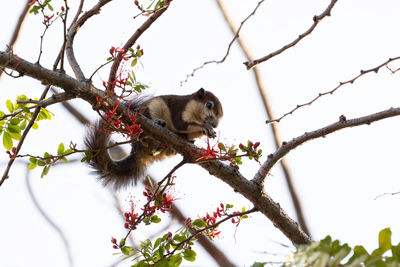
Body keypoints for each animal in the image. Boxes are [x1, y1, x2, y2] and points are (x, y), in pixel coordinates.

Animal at [85, 89, 223, 189]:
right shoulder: (180, 108)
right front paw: (205, 127)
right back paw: (158, 125)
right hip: (151, 111)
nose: (215, 124)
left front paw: (208, 131)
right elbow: (182, 124)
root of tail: (138, 151)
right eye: (209, 104)